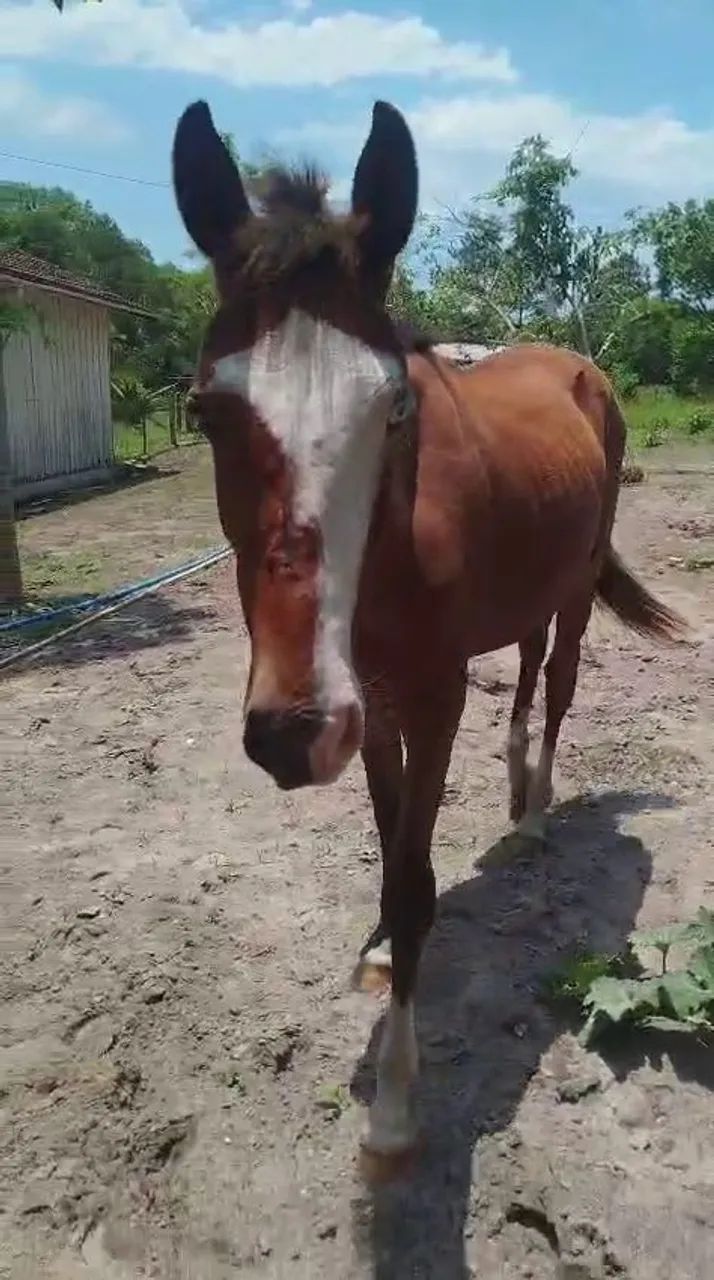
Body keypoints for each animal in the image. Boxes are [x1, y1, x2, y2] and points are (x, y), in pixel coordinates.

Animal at [172, 99, 686, 1181]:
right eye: (206, 410)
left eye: (395, 405)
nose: (291, 730)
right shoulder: (366, 698)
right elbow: (386, 832)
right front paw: (375, 943)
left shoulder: (433, 692)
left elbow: (414, 877)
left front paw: (397, 1107)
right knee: (527, 670)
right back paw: (514, 780)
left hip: (577, 588)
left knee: (561, 681)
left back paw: (535, 814)